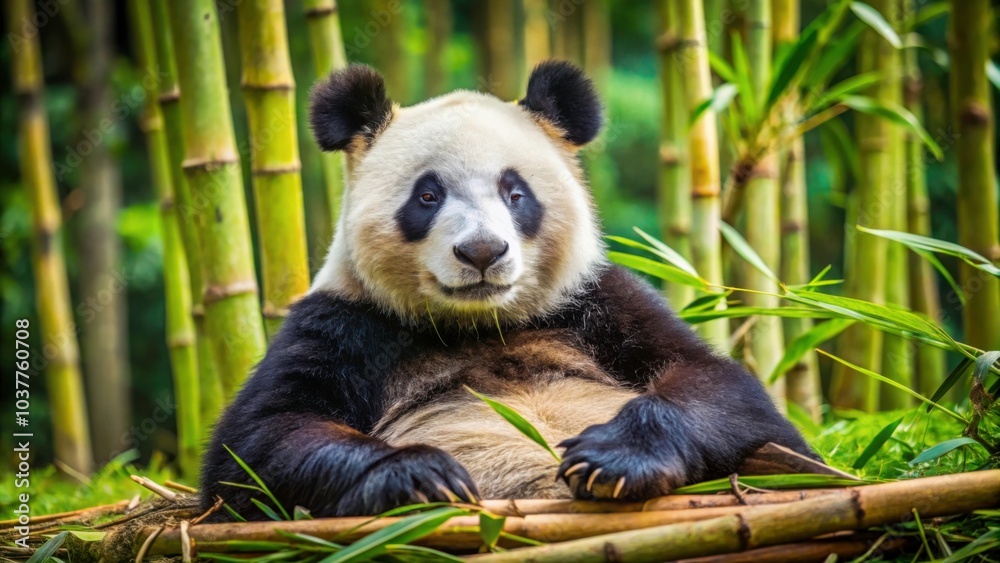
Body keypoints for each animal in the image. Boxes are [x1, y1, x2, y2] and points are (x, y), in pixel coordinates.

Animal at [201, 60, 818, 519]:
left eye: (515, 192)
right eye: (427, 195)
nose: (482, 252)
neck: (481, 321)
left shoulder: (594, 301)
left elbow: (725, 390)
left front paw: (612, 458)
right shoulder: (347, 319)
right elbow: (258, 444)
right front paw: (420, 475)